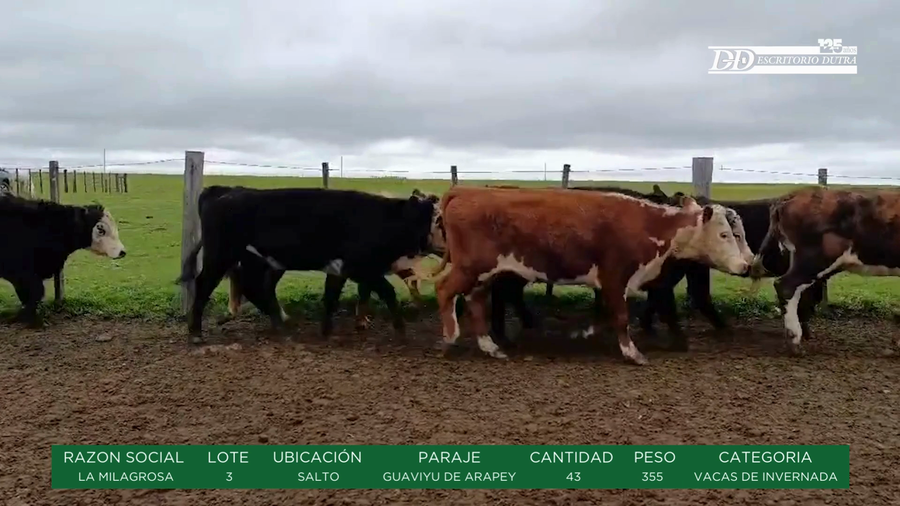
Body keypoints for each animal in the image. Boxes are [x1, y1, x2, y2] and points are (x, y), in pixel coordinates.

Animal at [177, 186, 443, 342]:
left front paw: (326, 330)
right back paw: (196, 332)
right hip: (221, 255)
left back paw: (281, 324)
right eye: (438, 219)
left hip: (253, 260)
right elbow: (387, 291)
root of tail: (223, 194)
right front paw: (400, 329)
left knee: (252, 287)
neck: (381, 219)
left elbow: (331, 296)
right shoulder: (362, 267)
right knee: (204, 284)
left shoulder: (340, 269)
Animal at [432, 185, 751, 365]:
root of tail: (466, 191)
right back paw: (449, 339)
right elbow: (620, 316)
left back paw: (490, 347)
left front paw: (584, 332)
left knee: (475, 302)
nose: (745, 266)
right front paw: (632, 353)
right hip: (470, 267)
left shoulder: (610, 283)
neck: (649, 224)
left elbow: (606, 315)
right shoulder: (615, 276)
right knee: (444, 290)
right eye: (726, 234)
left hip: (484, 274)